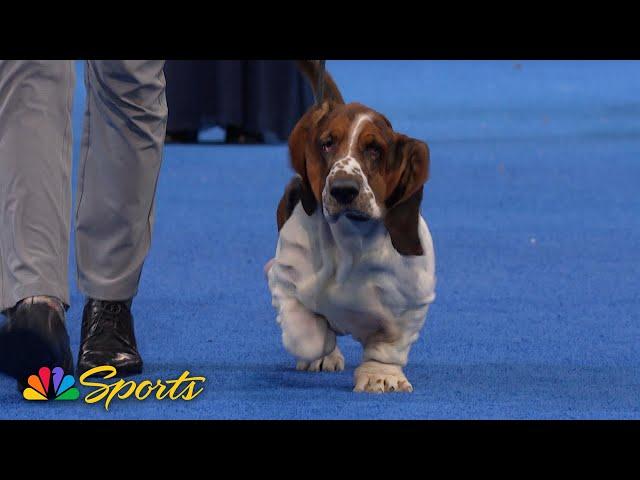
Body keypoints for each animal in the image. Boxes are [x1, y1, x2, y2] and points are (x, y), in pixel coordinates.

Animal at [264, 60, 436, 392]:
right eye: (327, 143)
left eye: (375, 150)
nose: (343, 190)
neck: (350, 243)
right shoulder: (286, 278)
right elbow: (308, 335)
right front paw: (321, 350)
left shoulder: (413, 302)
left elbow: (389, 345)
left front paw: (382, 376)